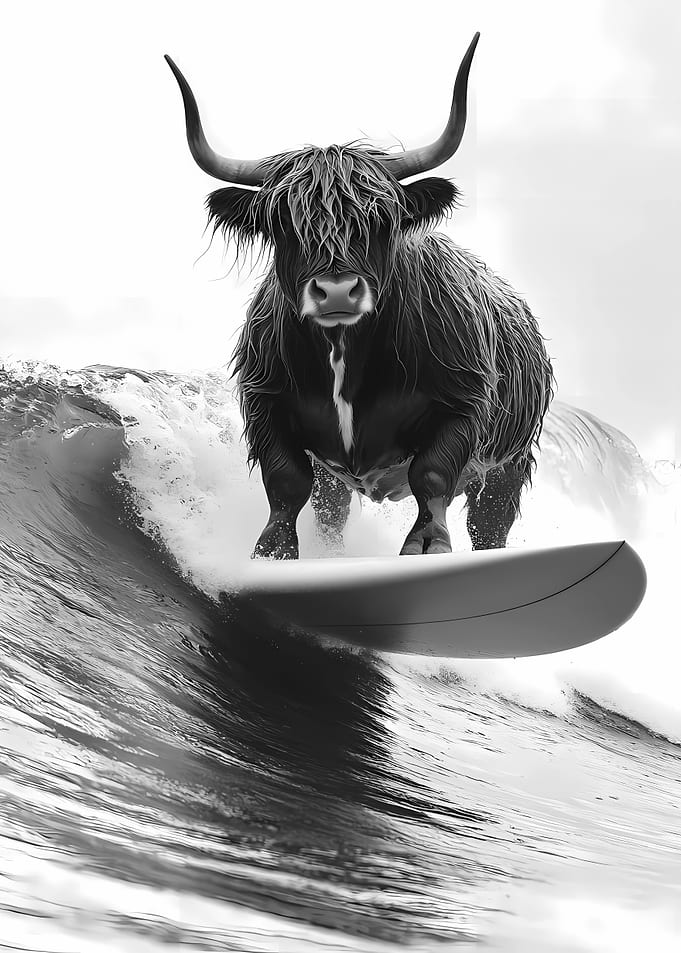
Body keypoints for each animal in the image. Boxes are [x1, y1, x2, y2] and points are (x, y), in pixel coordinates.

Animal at [165, 33, 554, 559]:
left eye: (381, 219)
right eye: (283, 223)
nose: (335, 291)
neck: (344, 356)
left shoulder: (463, 404)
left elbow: (431, 475)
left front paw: (427, 544)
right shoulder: (267, 405)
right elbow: (286, 484)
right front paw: (273, 553)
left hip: (510, 463)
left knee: (491, 524)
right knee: (332, 512)